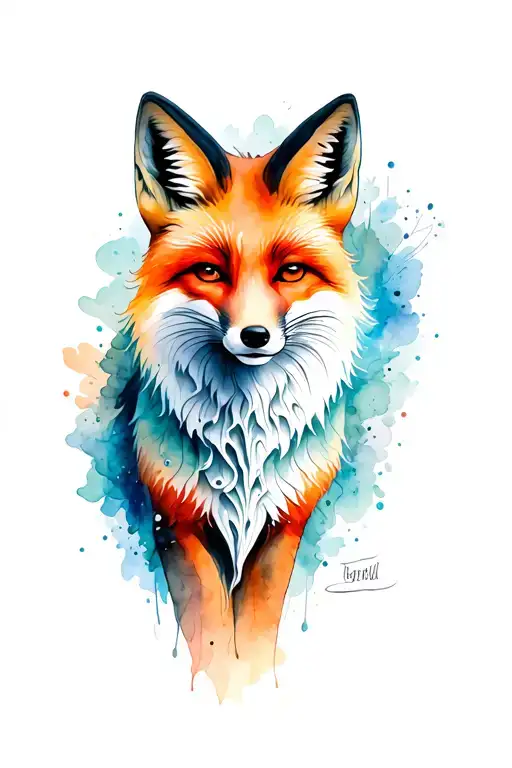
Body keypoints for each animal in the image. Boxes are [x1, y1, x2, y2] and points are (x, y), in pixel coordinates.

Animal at [126, 90, 368, 699]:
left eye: (291, 271)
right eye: (211, 271)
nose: (254, 336)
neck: (245, 431)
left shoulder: (284, 525)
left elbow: (255, 635)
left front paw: (250, 689)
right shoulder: (179, 522)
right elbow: (211, 638)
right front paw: (222, 692)